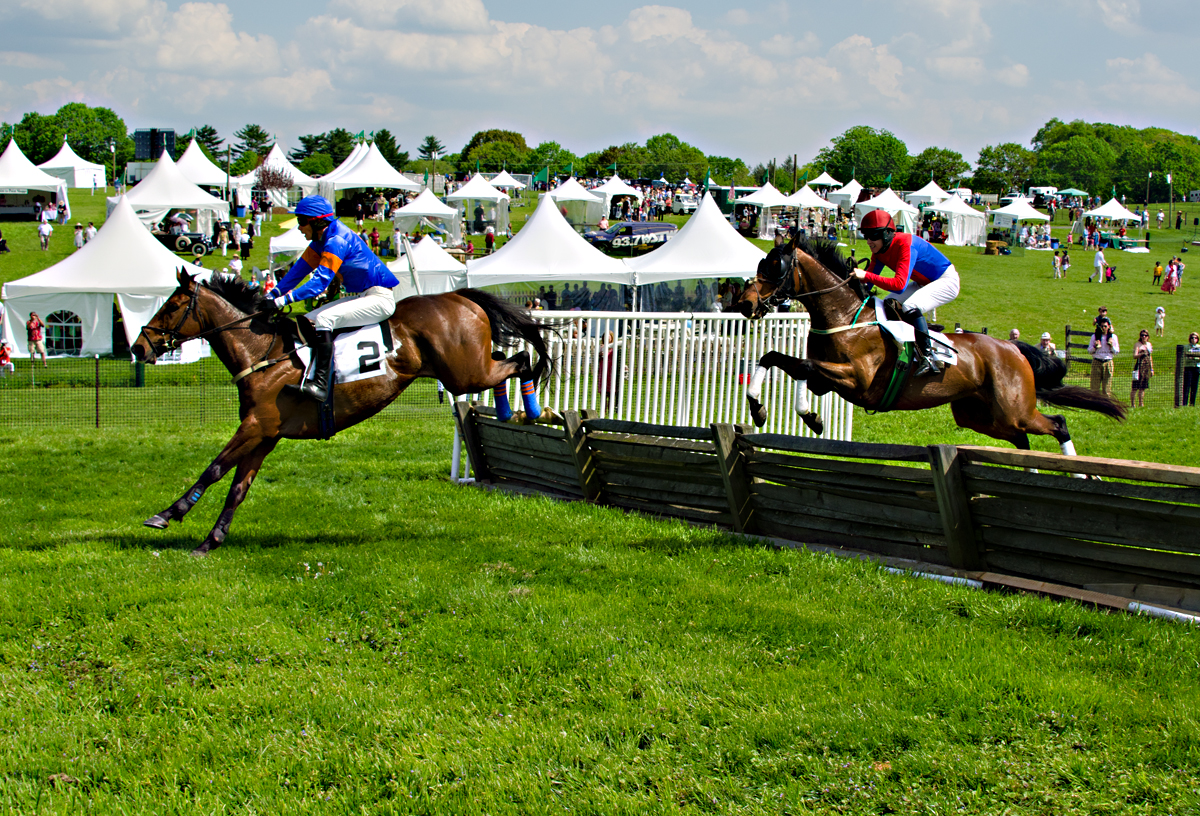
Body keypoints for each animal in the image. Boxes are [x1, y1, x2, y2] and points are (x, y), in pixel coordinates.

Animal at [131, 271, 552, 556]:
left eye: (171, 306)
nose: (138, 347)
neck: (261, 352)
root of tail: (459, 297)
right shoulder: (265, 434)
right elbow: (237, 487)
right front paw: (211, 540)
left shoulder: (255, 425)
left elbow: (214, 468)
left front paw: (168, 513)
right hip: (466, 367)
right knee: (513, 359)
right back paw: (513, 411)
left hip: (465, 372)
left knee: (520, 361)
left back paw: (527, 409)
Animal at [729, 236, 1123, 453]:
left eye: (776, 266)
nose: (745, 304)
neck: (845, 316)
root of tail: (1012, 349)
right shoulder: (828, 382)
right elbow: (777, 358)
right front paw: (761, 409)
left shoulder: (857, 379)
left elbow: (804, 366)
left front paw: (809, 417)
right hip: (979, 415)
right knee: (1021, 440)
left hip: (1015, 408)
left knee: (1057, 424)